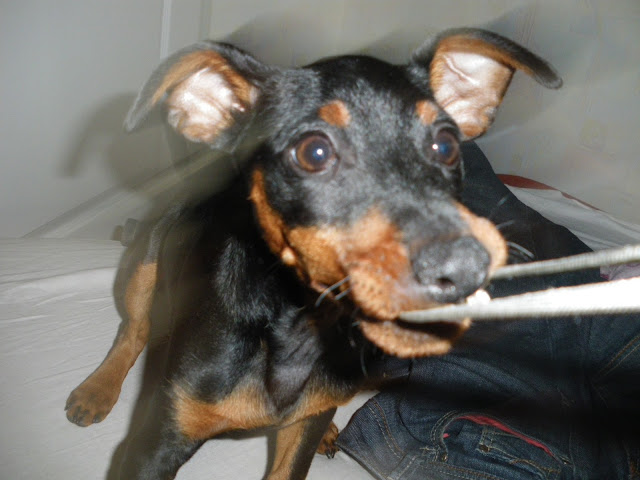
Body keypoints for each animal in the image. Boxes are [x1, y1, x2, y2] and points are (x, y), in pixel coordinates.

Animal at [65, 28, 561, 479]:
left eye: (447, 145)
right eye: (314, 152)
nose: (465, 268)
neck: (301, 326)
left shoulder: (298, 437)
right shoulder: (159, 444)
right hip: (147, 259)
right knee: (134, 327)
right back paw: (98, 389)